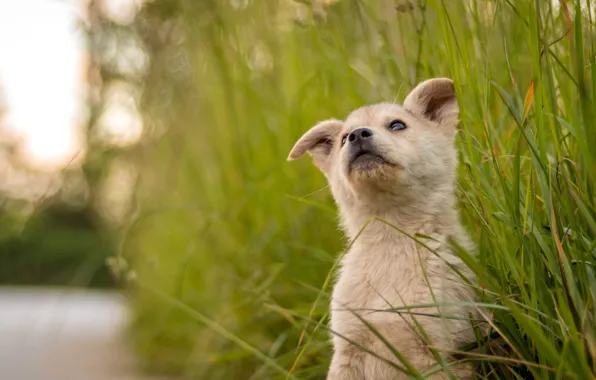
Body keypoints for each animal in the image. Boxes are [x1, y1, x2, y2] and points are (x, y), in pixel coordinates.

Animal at [286, 78, 478, 378]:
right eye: (344, 139)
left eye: (397, 125)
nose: (357, 135)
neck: (392, 236)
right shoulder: (348, 350)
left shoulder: (441, 351)